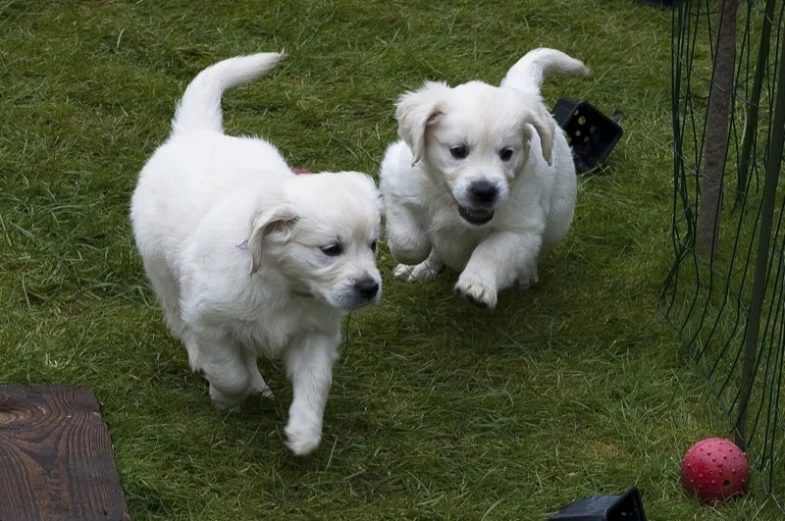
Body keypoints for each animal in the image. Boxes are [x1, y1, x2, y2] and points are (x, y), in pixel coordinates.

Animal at [132, 53, 382, 456]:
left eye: (373, 245)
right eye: (331, 250)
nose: (370, 288)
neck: (284, 285)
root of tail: (196, 132)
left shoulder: (315, 332)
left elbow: (315, 382)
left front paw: (303, 433)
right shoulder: (209, 319)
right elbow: (228, 370)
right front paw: (227, 398)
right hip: (162, 272)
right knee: (180, 320)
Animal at [380, 47, 588, 308]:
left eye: (507, 154)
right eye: (458, 151)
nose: (484, 191)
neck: (452, 206)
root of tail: (521, 91)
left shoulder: (520, 228)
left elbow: (491, 252)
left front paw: (476, 286)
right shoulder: (396, 180)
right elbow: (410, 241)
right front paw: (414, 258)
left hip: (558, 219)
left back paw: (526, 274)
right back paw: (422, 267)